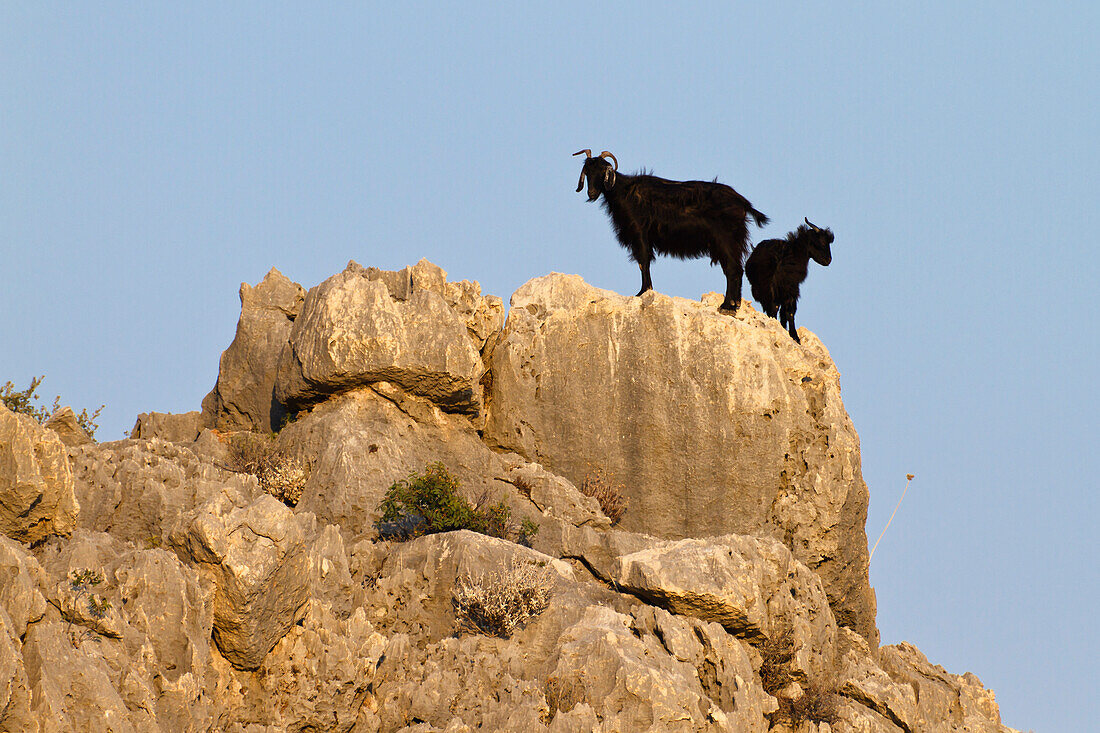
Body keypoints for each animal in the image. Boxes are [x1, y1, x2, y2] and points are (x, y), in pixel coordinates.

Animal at [576, 149, 765, 312]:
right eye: (587, 171)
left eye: (603, 171)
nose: (592, 193)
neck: (623, 191)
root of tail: (742, 202)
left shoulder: (639, 232)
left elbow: (643, 261)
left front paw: (643, 292)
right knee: (733, 269)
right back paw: (733, 305)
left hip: (726, 239)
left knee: (733, 269)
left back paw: (727, 306)